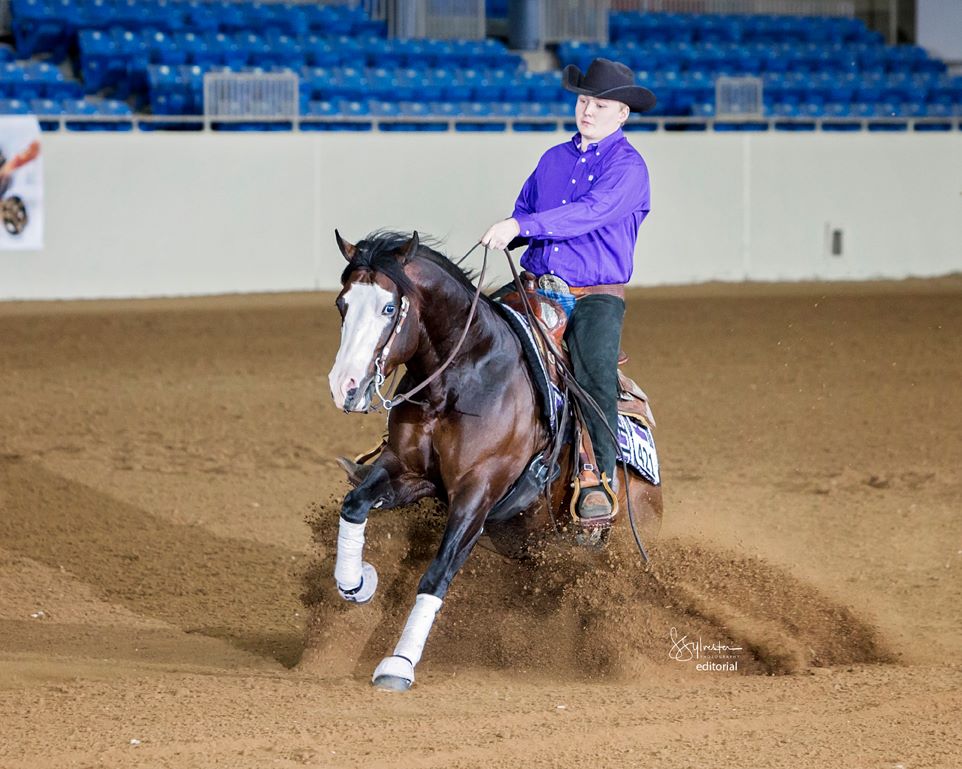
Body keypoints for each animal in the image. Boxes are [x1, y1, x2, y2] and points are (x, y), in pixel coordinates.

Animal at [326, 229, 663, 691]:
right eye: (342, 304)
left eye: (389, 307)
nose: (345, 387)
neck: (463, 377)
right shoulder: (408, 471)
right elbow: (355, 504)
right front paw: (358, 583)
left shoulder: (478, 490)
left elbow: (438, 571)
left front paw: (399, 663)